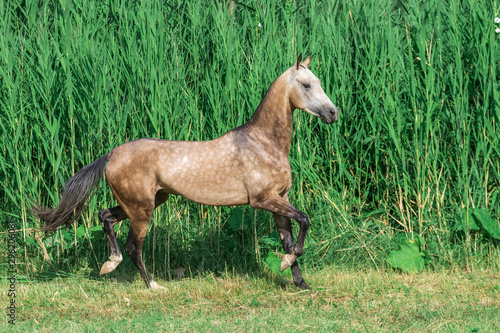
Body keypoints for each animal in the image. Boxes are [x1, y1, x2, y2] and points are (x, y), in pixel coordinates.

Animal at [32, 53, 340, 288]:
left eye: (318, 82)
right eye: (306, 84)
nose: (333, 113)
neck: (263, 143)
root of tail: (113, 154)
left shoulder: (280, 200)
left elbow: (289, 240)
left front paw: (300, 281)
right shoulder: (263, 199)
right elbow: (305, 221)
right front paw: (289, 267)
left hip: (150, 201)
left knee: (104, 216)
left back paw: (110, 264)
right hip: (142, 210)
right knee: (133, 246)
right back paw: (153, 285)